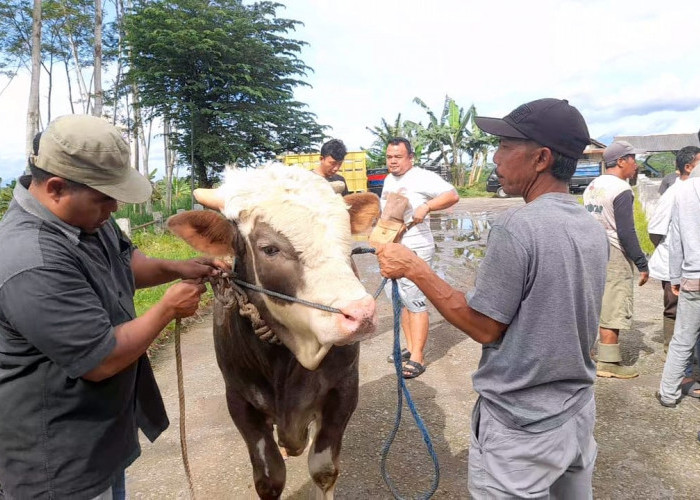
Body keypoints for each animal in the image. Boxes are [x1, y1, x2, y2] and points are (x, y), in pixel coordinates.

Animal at [167, 165, 380, 500]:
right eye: (269, 249)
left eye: (346, 239)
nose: (361, 314)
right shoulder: (239, 399)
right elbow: (270, 478)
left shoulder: (344, 388)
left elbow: (324, 470)